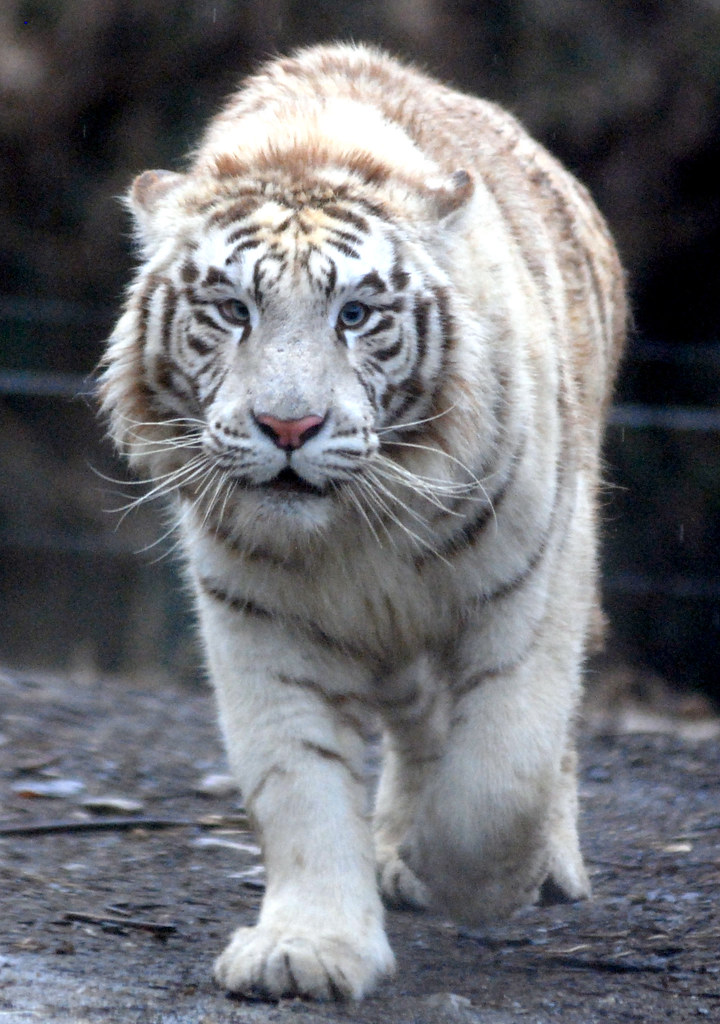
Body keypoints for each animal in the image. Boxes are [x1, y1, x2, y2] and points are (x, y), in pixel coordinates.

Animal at [99, 42, 626, 1001]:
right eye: (233, 310)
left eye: (356, 315)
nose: (288, 427)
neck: (351, 533)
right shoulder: (256, 619)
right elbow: (299, 782)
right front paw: (307, 950)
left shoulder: (531, 585)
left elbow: (502, 778)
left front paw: (476, 880)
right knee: (419, 727)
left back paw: (542, 868)